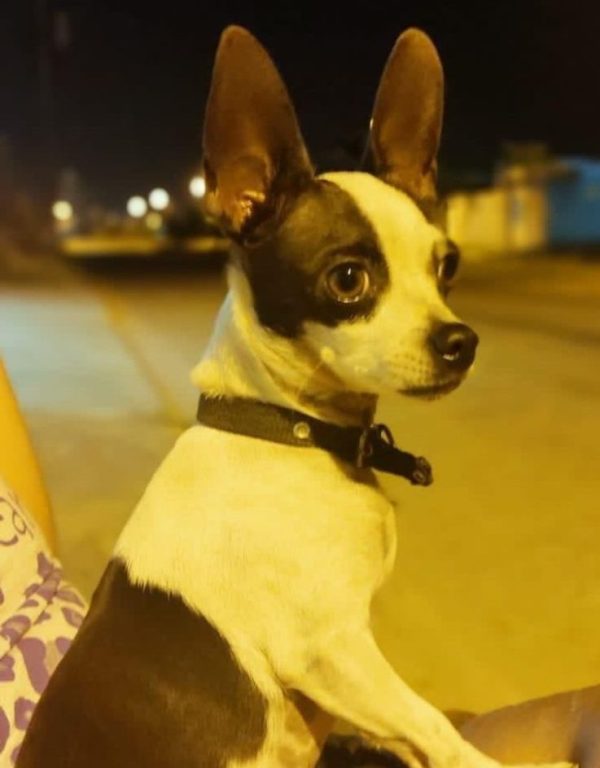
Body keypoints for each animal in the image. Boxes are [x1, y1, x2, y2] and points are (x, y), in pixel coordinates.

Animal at [16, 25, 576, 768]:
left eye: (447, 266)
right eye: (348, 279)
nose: (462, 341)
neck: (285, 427)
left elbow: (411, 734)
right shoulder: (330, 651)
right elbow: (432, 724)